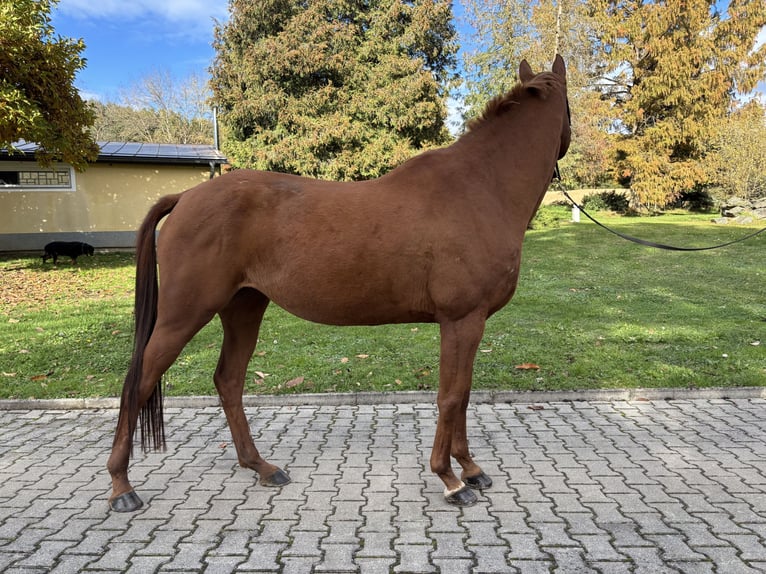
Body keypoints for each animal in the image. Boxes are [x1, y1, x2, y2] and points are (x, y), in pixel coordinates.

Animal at [107, 55, 571, 512]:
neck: (478, 188)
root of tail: (185, 197)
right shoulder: (461, 320)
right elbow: (451, 396)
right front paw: (451, 479)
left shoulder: (470, 324)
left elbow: (465, 394)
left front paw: (471, 468)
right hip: (184, 313)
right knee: (140, 380)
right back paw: (121, 486)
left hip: (243, 308)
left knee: (229, 381)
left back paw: (261, 467)